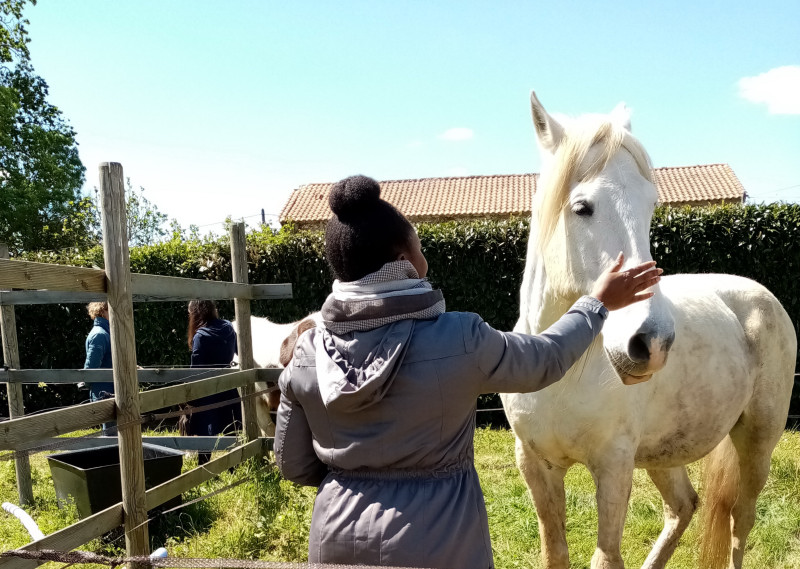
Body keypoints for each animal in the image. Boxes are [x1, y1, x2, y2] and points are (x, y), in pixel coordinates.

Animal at [504, 92, 796, 568]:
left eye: (650, 205)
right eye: (582, 207)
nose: (652, 342)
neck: (560, 364)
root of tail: (759, 295)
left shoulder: (614, 466)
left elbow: (606, 557)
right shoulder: (535, 465)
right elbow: (555, 553)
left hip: (757, 442)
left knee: (741, 520)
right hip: (664, 455)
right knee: (684, 507)